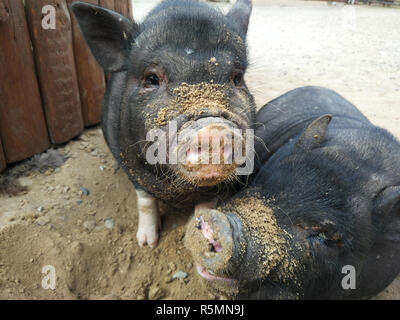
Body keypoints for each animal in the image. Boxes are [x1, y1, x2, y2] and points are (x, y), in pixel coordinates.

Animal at [70, 0, 255, 248]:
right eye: (152, 78)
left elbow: (205, 207)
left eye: (237, 78)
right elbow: (145, 200)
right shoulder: (130, 163)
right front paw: (147, 243)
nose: (213, 130)